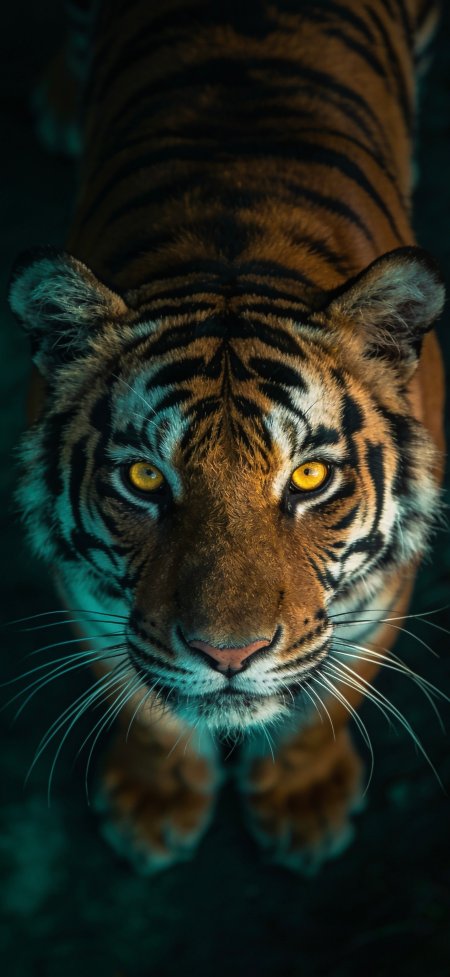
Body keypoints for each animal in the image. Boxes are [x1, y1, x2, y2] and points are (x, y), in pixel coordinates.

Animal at [8, 0, 446, 875]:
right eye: (145, 479)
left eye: (309, 479)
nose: (229, 657)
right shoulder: (88, 589)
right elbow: (145, 704)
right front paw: (154, 804)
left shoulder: (385, 589)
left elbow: (327, 700)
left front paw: (304, 806)